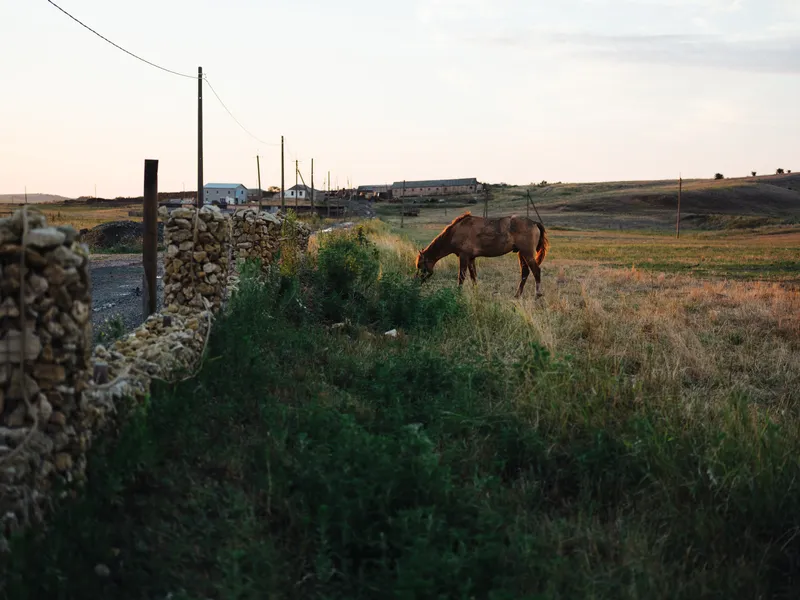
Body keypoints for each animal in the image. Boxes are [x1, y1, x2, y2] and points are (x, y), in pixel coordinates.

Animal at [415, 212, 549, 297]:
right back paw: (517, 295)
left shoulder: (464, 257)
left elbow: (461, 277)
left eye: (420, 265)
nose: (416, 282)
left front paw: (458, 294)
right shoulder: (471, 258)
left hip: (527, 253)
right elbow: (473, 276)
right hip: (521, 254)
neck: (455, 232)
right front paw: (476, 293)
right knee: (525, 273)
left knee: (536, 271)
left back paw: (537, 295)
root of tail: (534, 222)